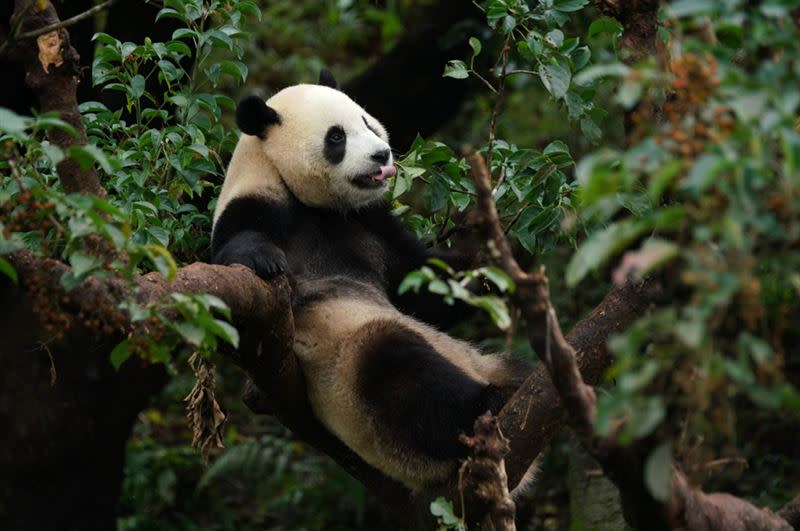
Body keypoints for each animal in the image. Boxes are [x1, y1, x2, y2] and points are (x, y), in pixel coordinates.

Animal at [211, 71, 532, 494]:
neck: (314, 205)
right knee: (399, 373)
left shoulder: (371, 222)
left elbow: (424, 287)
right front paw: (263, 258)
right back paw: (485, 404)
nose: (383, 155)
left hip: (483, 360)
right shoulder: (255, 205)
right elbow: (233, 295)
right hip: (358, 391)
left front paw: (502, 265)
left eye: (367, 122)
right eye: (336, 137)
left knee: (512, 368)